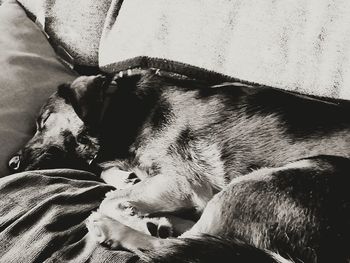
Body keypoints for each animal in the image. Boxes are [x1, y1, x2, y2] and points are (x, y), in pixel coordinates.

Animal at [7, 70, 350, 263]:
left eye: (42, 122)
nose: (12, 163)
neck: (121, 108)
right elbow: (114, 177)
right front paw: (128, 182)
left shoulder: (184, 182)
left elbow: (110, 197)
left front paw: (126, 206)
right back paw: (158, 222)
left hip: (263, 184)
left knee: (180, 246)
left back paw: (118, 228)